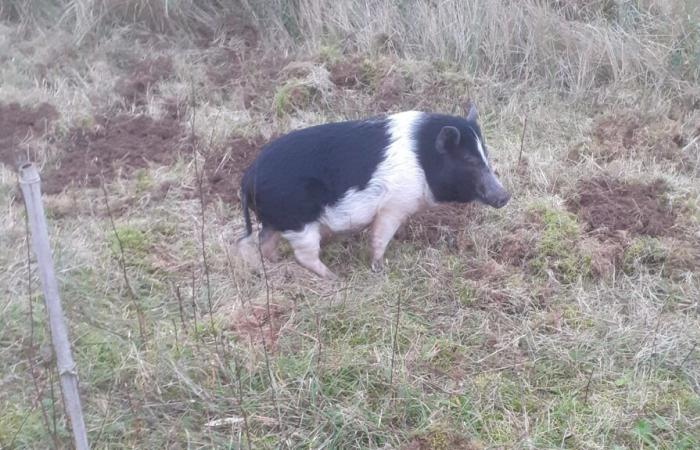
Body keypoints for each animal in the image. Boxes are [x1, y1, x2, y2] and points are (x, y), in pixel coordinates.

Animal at [239, 106, 508, 280]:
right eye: (469, 160)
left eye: (485, 154)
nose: (505, 196)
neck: (423, 161)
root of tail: (248, 177)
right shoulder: (393, 206)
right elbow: (379, 238)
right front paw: (380, 268)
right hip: (298, 221)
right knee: (303, 255)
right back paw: (335, 278)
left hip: (275, 219)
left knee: (264, 241)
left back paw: (275, 263)